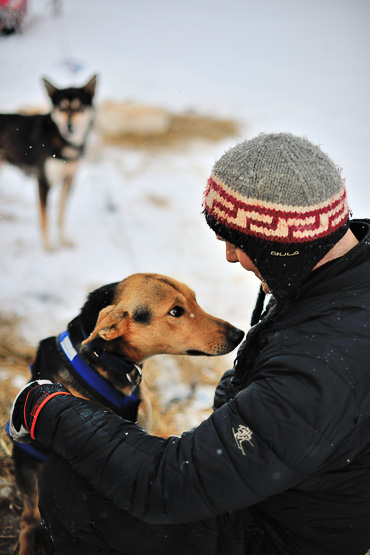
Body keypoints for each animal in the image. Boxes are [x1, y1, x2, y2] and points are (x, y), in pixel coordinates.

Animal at [0, 74, 97, 250]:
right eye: (61, 108)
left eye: (79, 107)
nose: (69, 127)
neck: (61, 138)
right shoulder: (43, 182)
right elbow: (45, 218)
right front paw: (48, 245)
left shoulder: (69, 180)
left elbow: (61, 215)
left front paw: (63, 239)